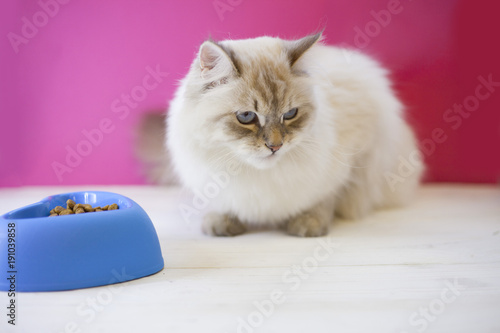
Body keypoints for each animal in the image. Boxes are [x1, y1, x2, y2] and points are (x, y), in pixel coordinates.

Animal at [164, 32, 422, 236]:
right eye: (246, 117)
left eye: (290, 114)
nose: (275, 146)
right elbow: (224, 202)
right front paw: (223, 222)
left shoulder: (351, 160)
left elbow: (325, 198)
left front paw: (309, 223)